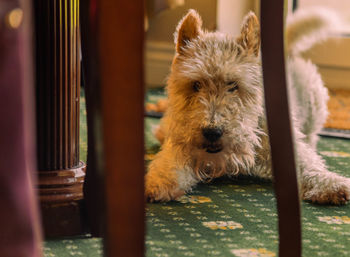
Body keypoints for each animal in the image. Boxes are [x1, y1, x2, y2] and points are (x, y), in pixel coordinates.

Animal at [145, 7, 350, 204]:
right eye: (196, 85)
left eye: (233, 85)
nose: (212, 132)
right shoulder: (183, 143)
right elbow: (171, 162)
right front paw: (158, 183)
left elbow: (308, 164)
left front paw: (331, 185)